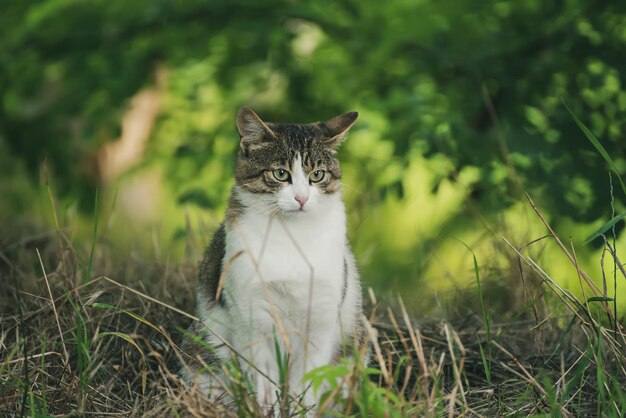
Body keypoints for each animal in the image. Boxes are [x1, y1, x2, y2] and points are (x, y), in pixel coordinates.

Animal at [180, 106, 366, 414]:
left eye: (317, 175)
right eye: (281, 174)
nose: (301, 198)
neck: (291, 237)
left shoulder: (320, 322)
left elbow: (307, 388)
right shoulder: (252, 319)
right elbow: (265, 385)